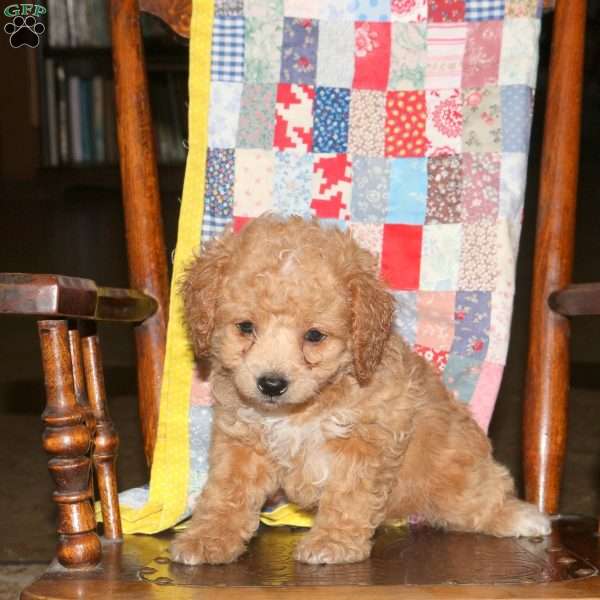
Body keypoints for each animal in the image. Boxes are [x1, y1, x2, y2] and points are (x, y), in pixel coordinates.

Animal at [171, 217, 552, 568]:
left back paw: (520, 517)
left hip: (454, 475)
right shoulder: (241, 441)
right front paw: (207, 538)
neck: (305, 406)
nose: (272, 384)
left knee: (484, 493)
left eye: (314, 336)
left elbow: (347, 495)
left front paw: (333, 543)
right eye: (245, 327)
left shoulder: (364, 441)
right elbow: (227, 493)